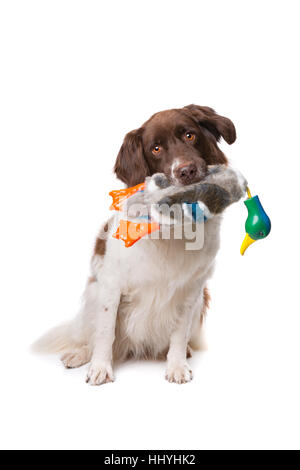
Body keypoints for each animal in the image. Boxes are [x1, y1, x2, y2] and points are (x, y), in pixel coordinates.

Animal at [34, 105, 244, 386]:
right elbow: (105, 331)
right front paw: (100, 367)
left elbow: (179, 333)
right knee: (89, 334)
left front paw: (177, 366)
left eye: (189, 135)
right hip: (93, 292)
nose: (186, 171)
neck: (173, 230)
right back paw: (80, 354)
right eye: (155, 149)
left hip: (202, 300)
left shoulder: (192, 289)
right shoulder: (111, 284)